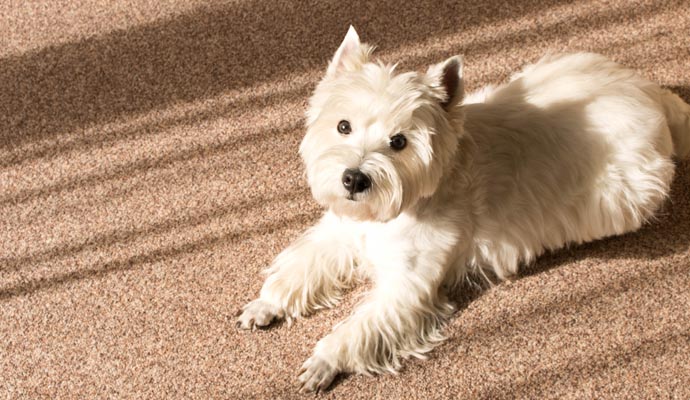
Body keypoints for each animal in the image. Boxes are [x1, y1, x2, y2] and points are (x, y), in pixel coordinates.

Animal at [236, 26, 688, 392]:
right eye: (343, 125)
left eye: (399, 142)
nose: (354, 180)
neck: (394, 211)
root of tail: (649, 93)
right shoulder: (342, 231)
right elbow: (301, 265)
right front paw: (264, 305)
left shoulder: (407, 287)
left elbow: (361, 325)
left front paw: (324, 360)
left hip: (627, 192)